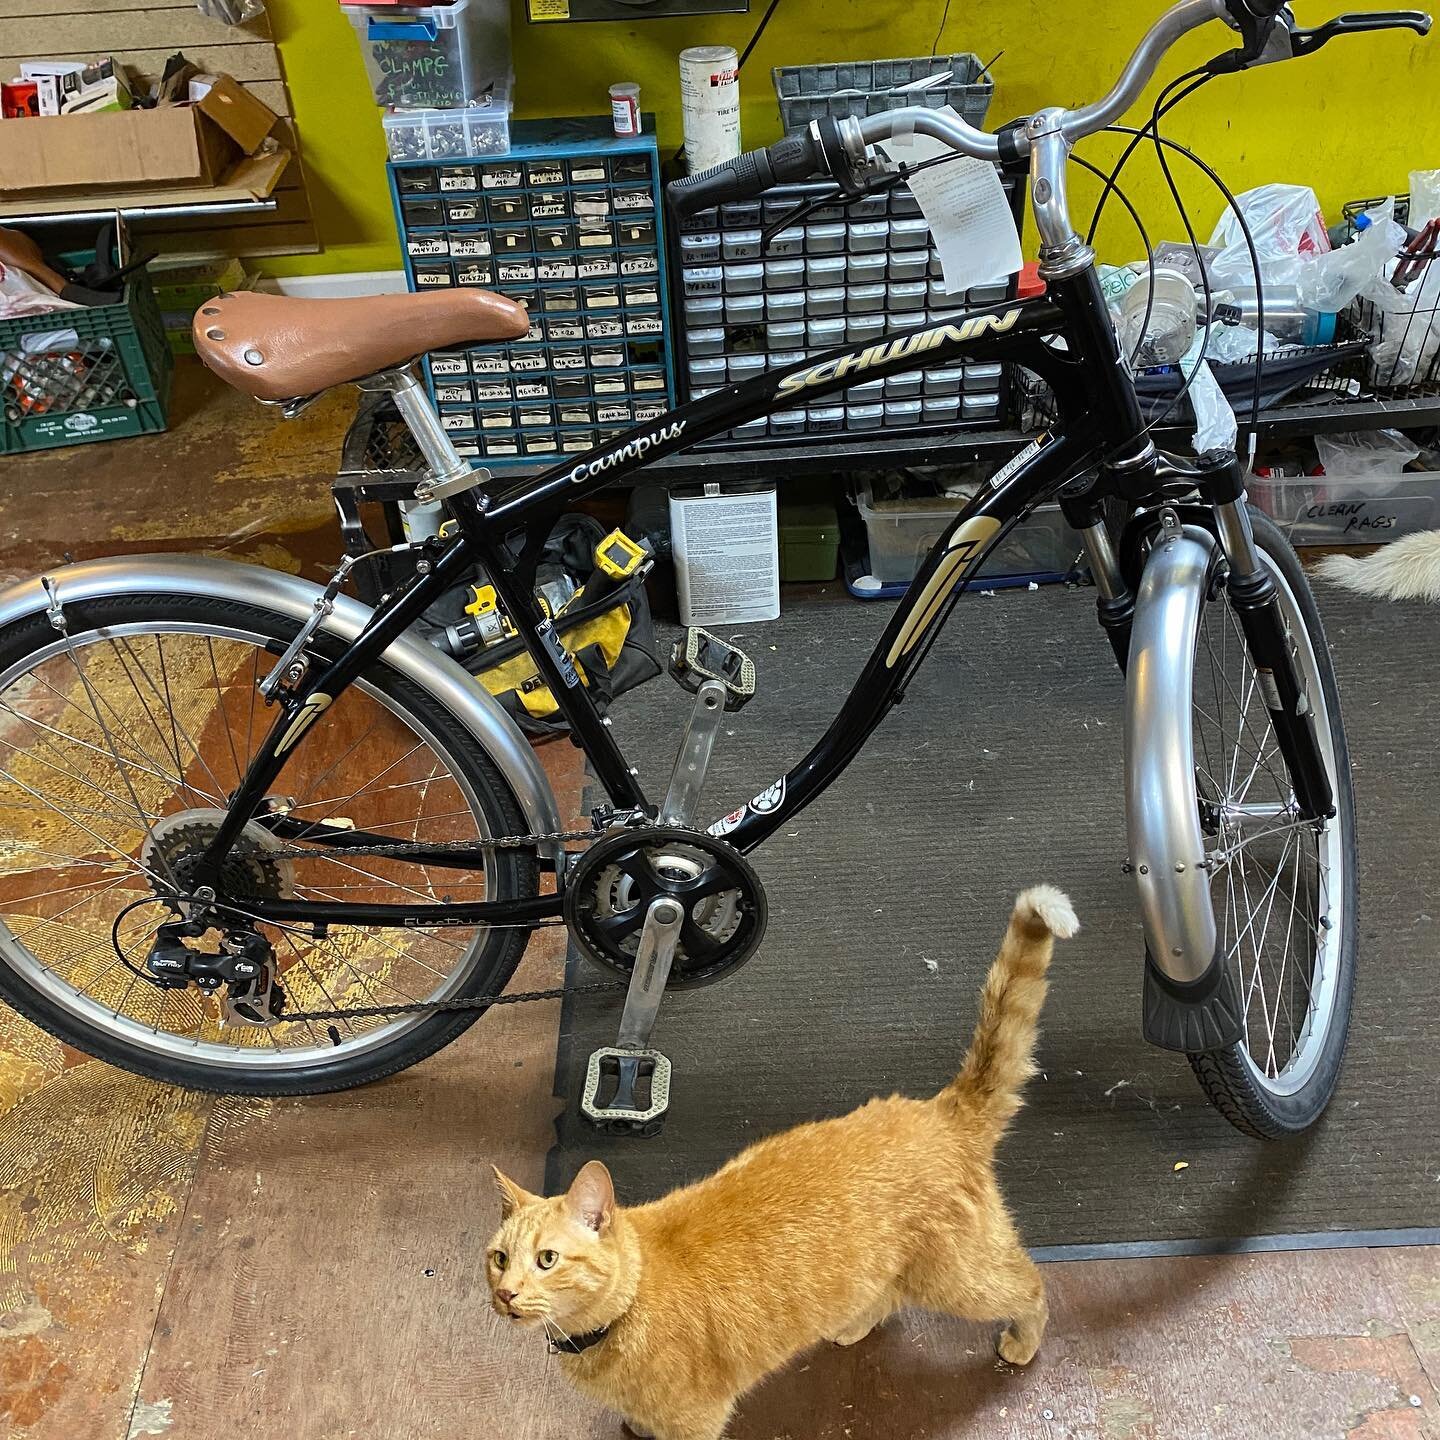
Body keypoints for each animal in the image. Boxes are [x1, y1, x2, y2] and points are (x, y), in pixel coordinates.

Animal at [489, 881, 1077, 1434]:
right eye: (498, 1259)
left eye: (547, 1260)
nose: (506, 1294)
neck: (622, 1310)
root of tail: (940, 1111)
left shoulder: (697, 1421)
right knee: (886, 1294)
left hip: (959, 1279)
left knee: (1030, 1286)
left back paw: (1023, 1339)